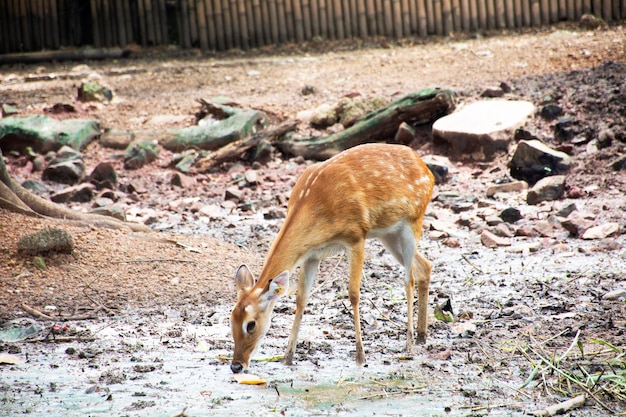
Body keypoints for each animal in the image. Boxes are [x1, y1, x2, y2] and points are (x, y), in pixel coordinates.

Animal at [229, 141, 434, 372]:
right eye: (231, 319)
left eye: (251, 324)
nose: (236, 366)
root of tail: (426, 169)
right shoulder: (312, 255)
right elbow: (301, 298)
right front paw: (287, 357)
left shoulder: (356, 236)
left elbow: (353, 294)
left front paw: (361, 357)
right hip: (388, 233)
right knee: (425, 266)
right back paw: (421, 335)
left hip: (412, 220)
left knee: (409, 279)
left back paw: (409, 344)